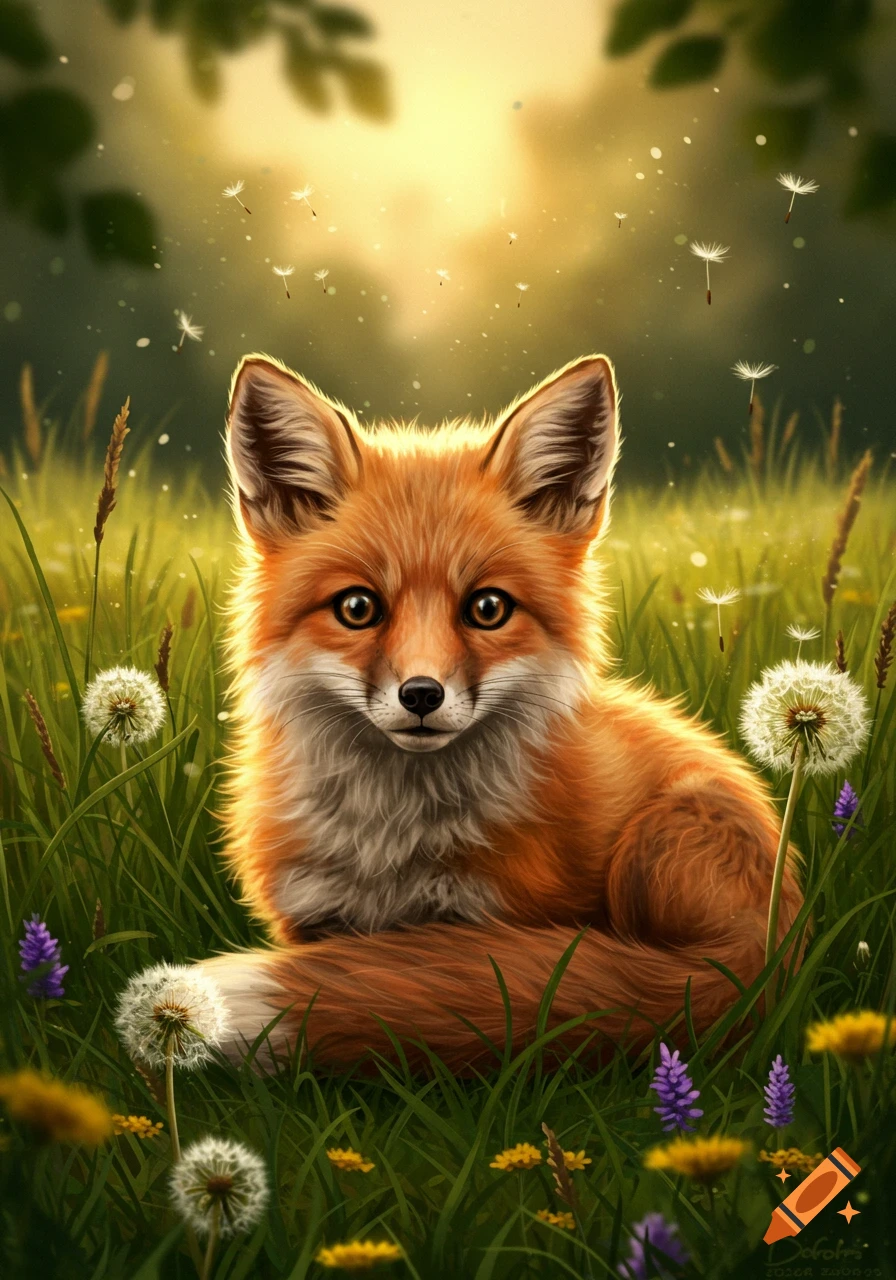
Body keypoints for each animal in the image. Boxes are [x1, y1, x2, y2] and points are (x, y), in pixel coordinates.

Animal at [196, 352, 803, 1072]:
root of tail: (767, 956)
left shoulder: (498, 919)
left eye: (487, 608)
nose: (421, 695)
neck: (391, 844)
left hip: (659, 840)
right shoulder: (311, 917)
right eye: (357, 607)